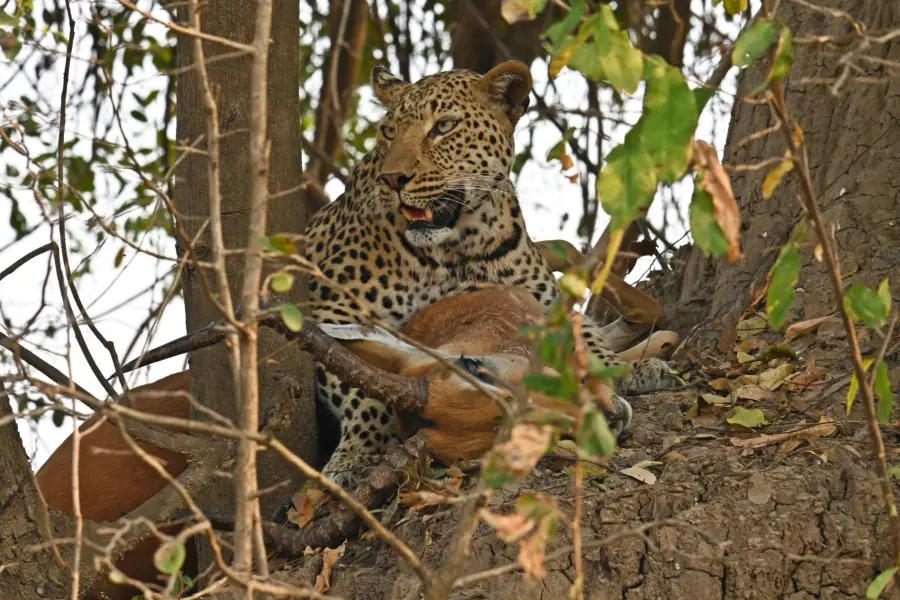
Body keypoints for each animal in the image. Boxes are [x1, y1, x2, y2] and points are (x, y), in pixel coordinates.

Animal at [304, 61, 676, 490]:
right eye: (389, 132)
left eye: (444, 126)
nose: (393, 178)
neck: (454, 247)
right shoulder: (331, 306)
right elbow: (358, 385)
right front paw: (355, 455)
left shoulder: (535, 298)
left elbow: (591, 346)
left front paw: (629, 371)